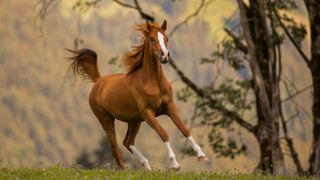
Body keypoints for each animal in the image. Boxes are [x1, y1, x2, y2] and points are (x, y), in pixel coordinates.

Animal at [67, 20, 208, 169]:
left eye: (166, 38)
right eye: (151, 39)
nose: (164, 55)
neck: (154, 83)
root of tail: (99, 81)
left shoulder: (170, 107)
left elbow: (184, 129)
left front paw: (202, 155)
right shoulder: (148, 113)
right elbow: (163, 133)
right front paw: (175, 164)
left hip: (134, 120)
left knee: (127, 142)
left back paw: (147, 166)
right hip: (106, 119)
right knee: (116, 149)